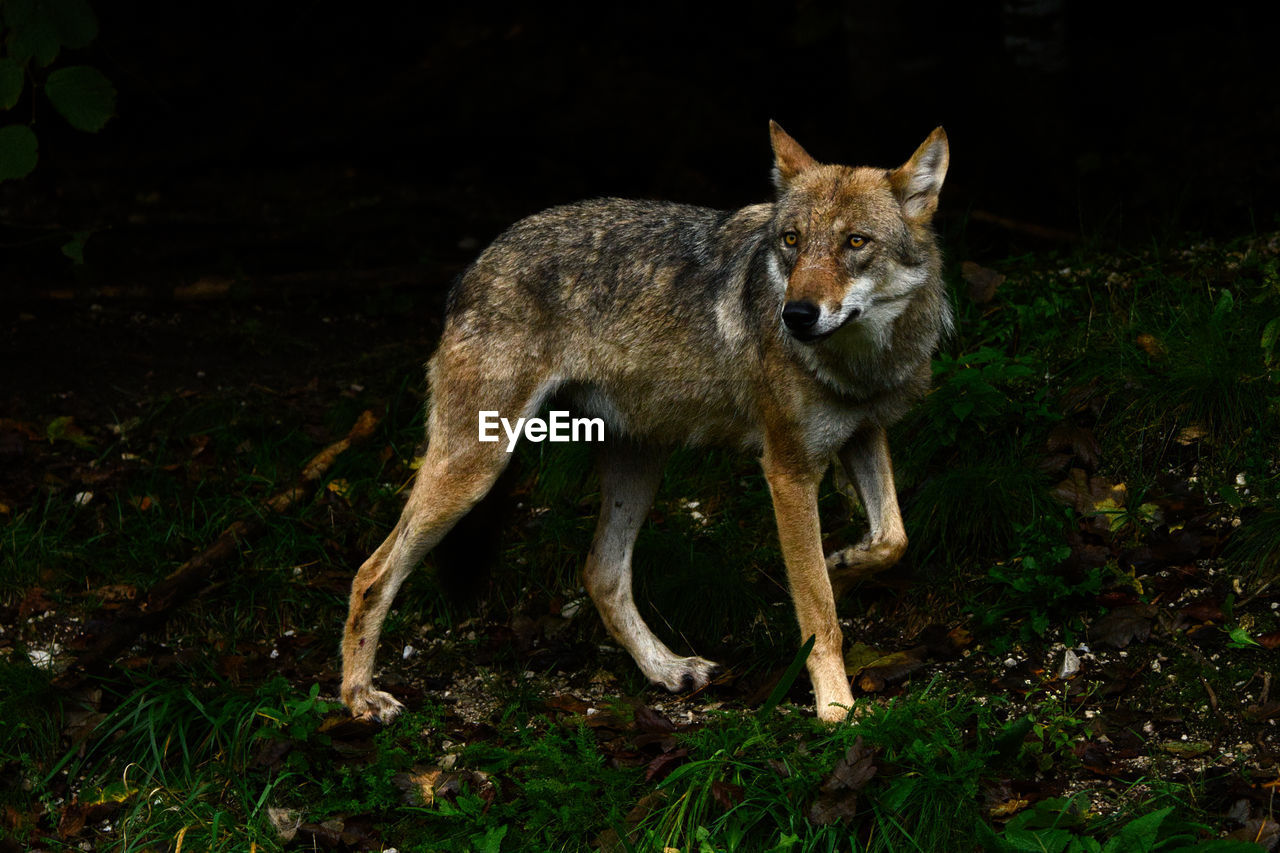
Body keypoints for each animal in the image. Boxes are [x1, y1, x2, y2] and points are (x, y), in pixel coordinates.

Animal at [340, 122, 952, 722]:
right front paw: (837, 709)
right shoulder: (788, 471)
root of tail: (473, 266)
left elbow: (891, 539)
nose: (796, 315)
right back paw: (360, 699)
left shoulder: (865, 434)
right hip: (478, 467)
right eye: (791, 241)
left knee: (601, 574)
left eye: (856, 243)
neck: (861, 363)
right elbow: (818, 613)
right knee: (371, 573)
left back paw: (667, 669)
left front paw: (842, 565)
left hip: (638, 463)